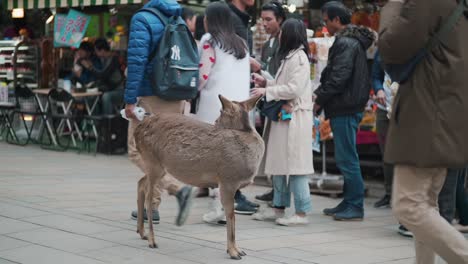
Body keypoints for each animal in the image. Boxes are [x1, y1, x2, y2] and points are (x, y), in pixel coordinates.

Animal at [134, 95, 264, 260]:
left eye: (221, 112)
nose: (215, 122)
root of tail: (136, 131)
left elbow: (230, 215)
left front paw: (238, 250)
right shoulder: (227, 180)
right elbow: (231, 215)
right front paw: (234, 252)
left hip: (159, 167)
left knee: (141, 183)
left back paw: (142, 233)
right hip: (152, 161)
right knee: (149, 197)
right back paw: (152, 240)